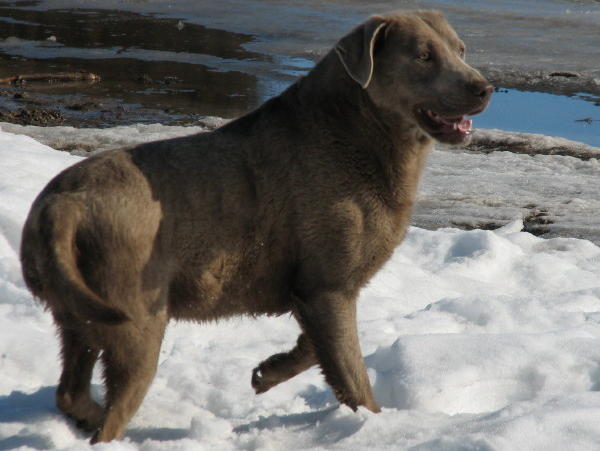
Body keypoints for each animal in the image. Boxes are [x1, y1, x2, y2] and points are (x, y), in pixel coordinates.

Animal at [19, 11, 492, 444]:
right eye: (424, 56)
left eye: (461, 49)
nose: (483, 87)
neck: (361, 135)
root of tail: (62, 205)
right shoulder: (328, 284)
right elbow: (353, 375)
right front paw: (372, 425)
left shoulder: (313, 288)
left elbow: (318, 348)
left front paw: (267, 372)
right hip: (137, 315)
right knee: (114, 412)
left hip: (74, 308)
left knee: (70, 387)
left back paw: (83, 414)